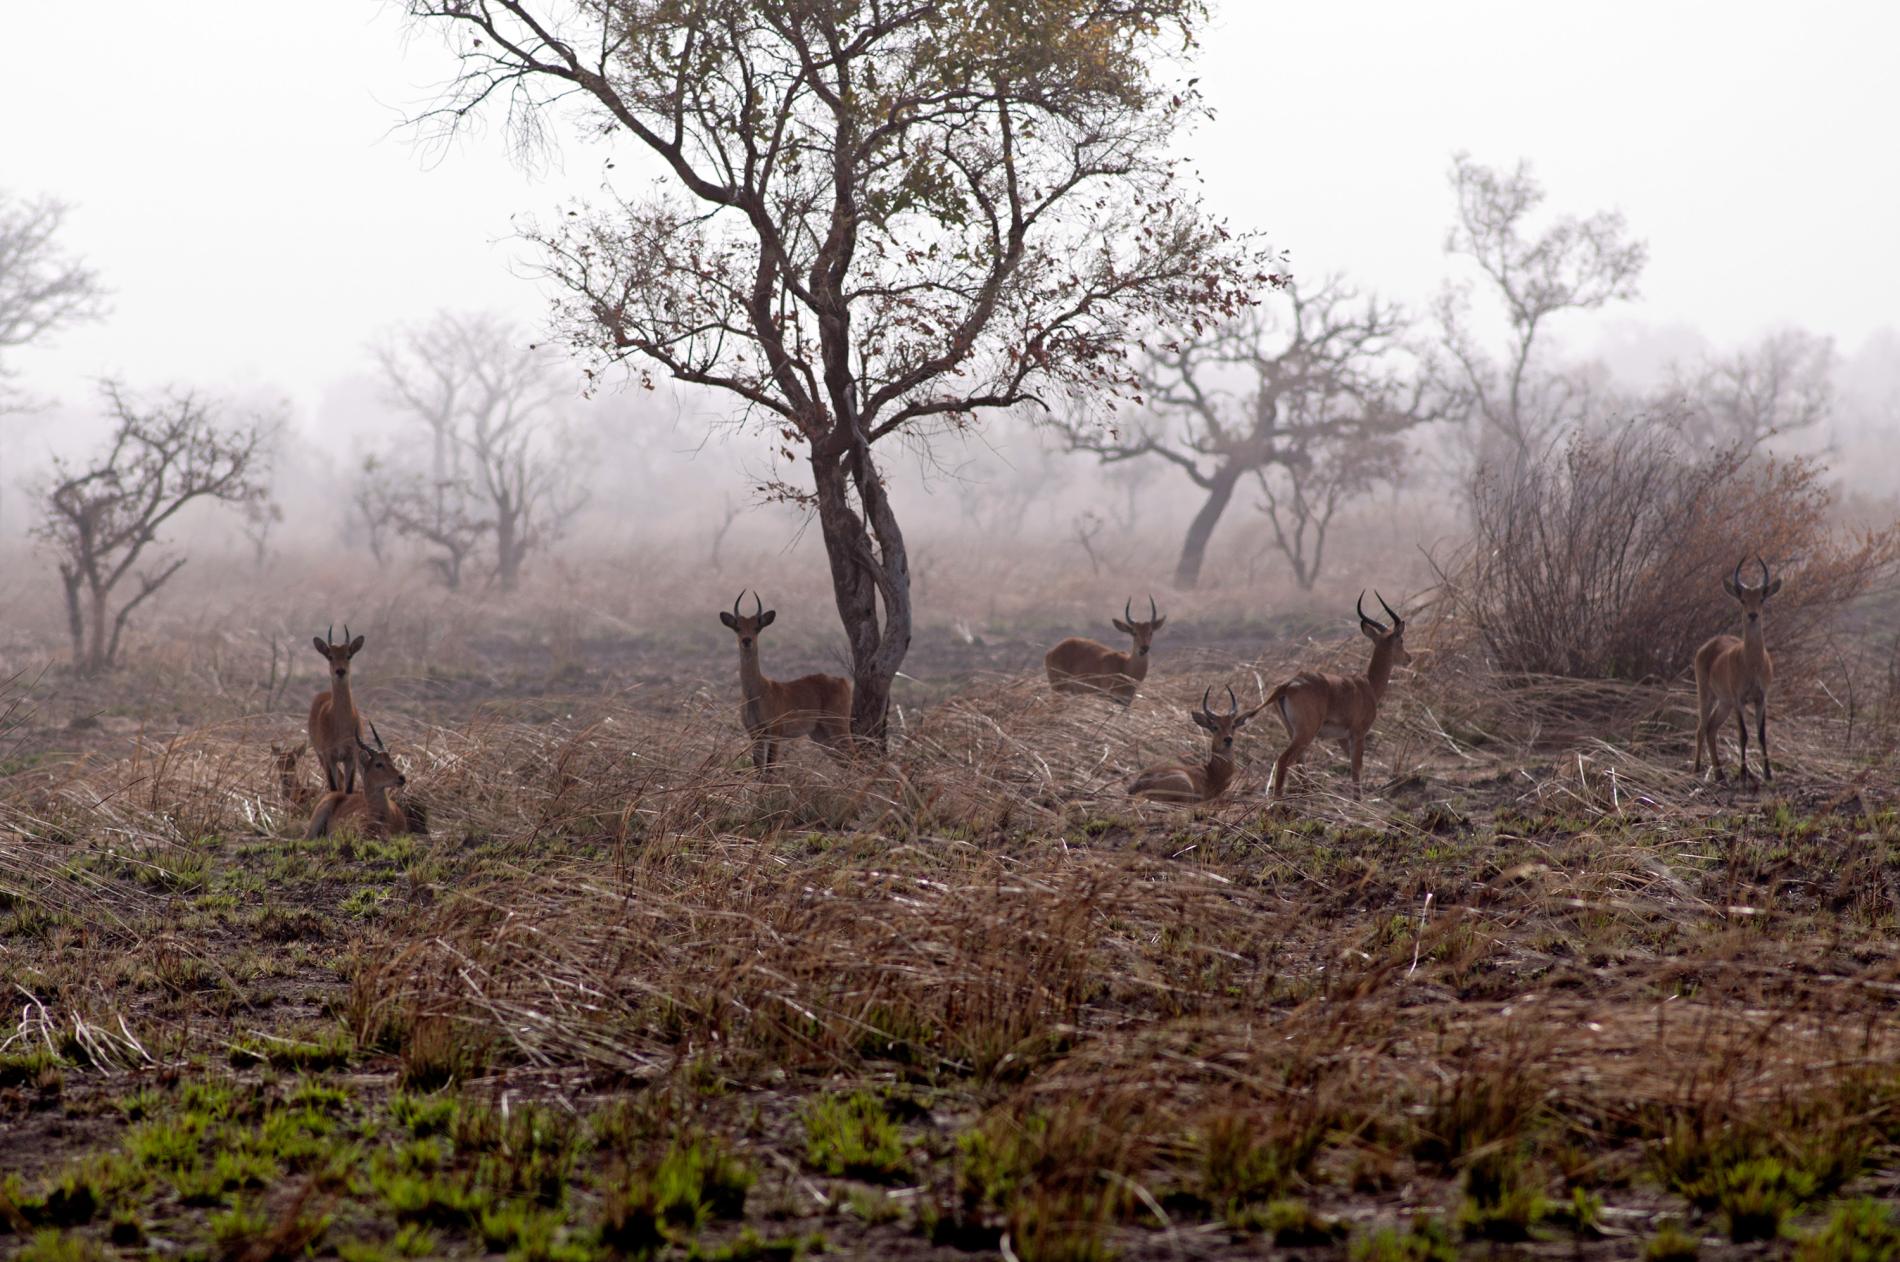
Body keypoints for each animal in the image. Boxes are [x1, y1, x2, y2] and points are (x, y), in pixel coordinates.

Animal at [307, 627, 366, 794]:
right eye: (330, 656)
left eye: (349, 655)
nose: (340, 671)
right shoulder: (329, 757)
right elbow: (333, 787)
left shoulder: (351, 756)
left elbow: (349, 788)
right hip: (319, 754)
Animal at [718, 592, 855, 767]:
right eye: (738, 627)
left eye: (757, 627)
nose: (746, 640)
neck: (756, 693)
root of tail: (843, 681)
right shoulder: (755, 734)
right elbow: (758, 768)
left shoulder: (775, 732)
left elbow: (770, 768)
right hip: (820, 734)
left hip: (838, 726)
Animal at [1261, 592, 1413, 798]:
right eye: (1401, 639)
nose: (1409, 658)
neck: (1368, 685)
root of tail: (1288, 685)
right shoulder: (1358, 733)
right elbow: (1356, 767)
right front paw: (1358, 800)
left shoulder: (1341, 738)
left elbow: (1353, 766)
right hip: (1305, 733)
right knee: (1284, 760)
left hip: (1292, 732)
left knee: (1299, 764)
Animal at [1694, 558, 1778, 783]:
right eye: (1742, 599)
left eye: (1761, 598)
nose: (1752, 615)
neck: (1752, 663)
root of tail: (1708, 645)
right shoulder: (1740, 700)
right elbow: (1743, 734)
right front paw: (1742, 773)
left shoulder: (1761, 698)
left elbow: (1761, 735)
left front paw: (1767, 774)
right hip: (1707, 695)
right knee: (1701, 728)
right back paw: (1697, 769)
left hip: (1724, 703)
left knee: (1711, 728)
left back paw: (1719, 774)